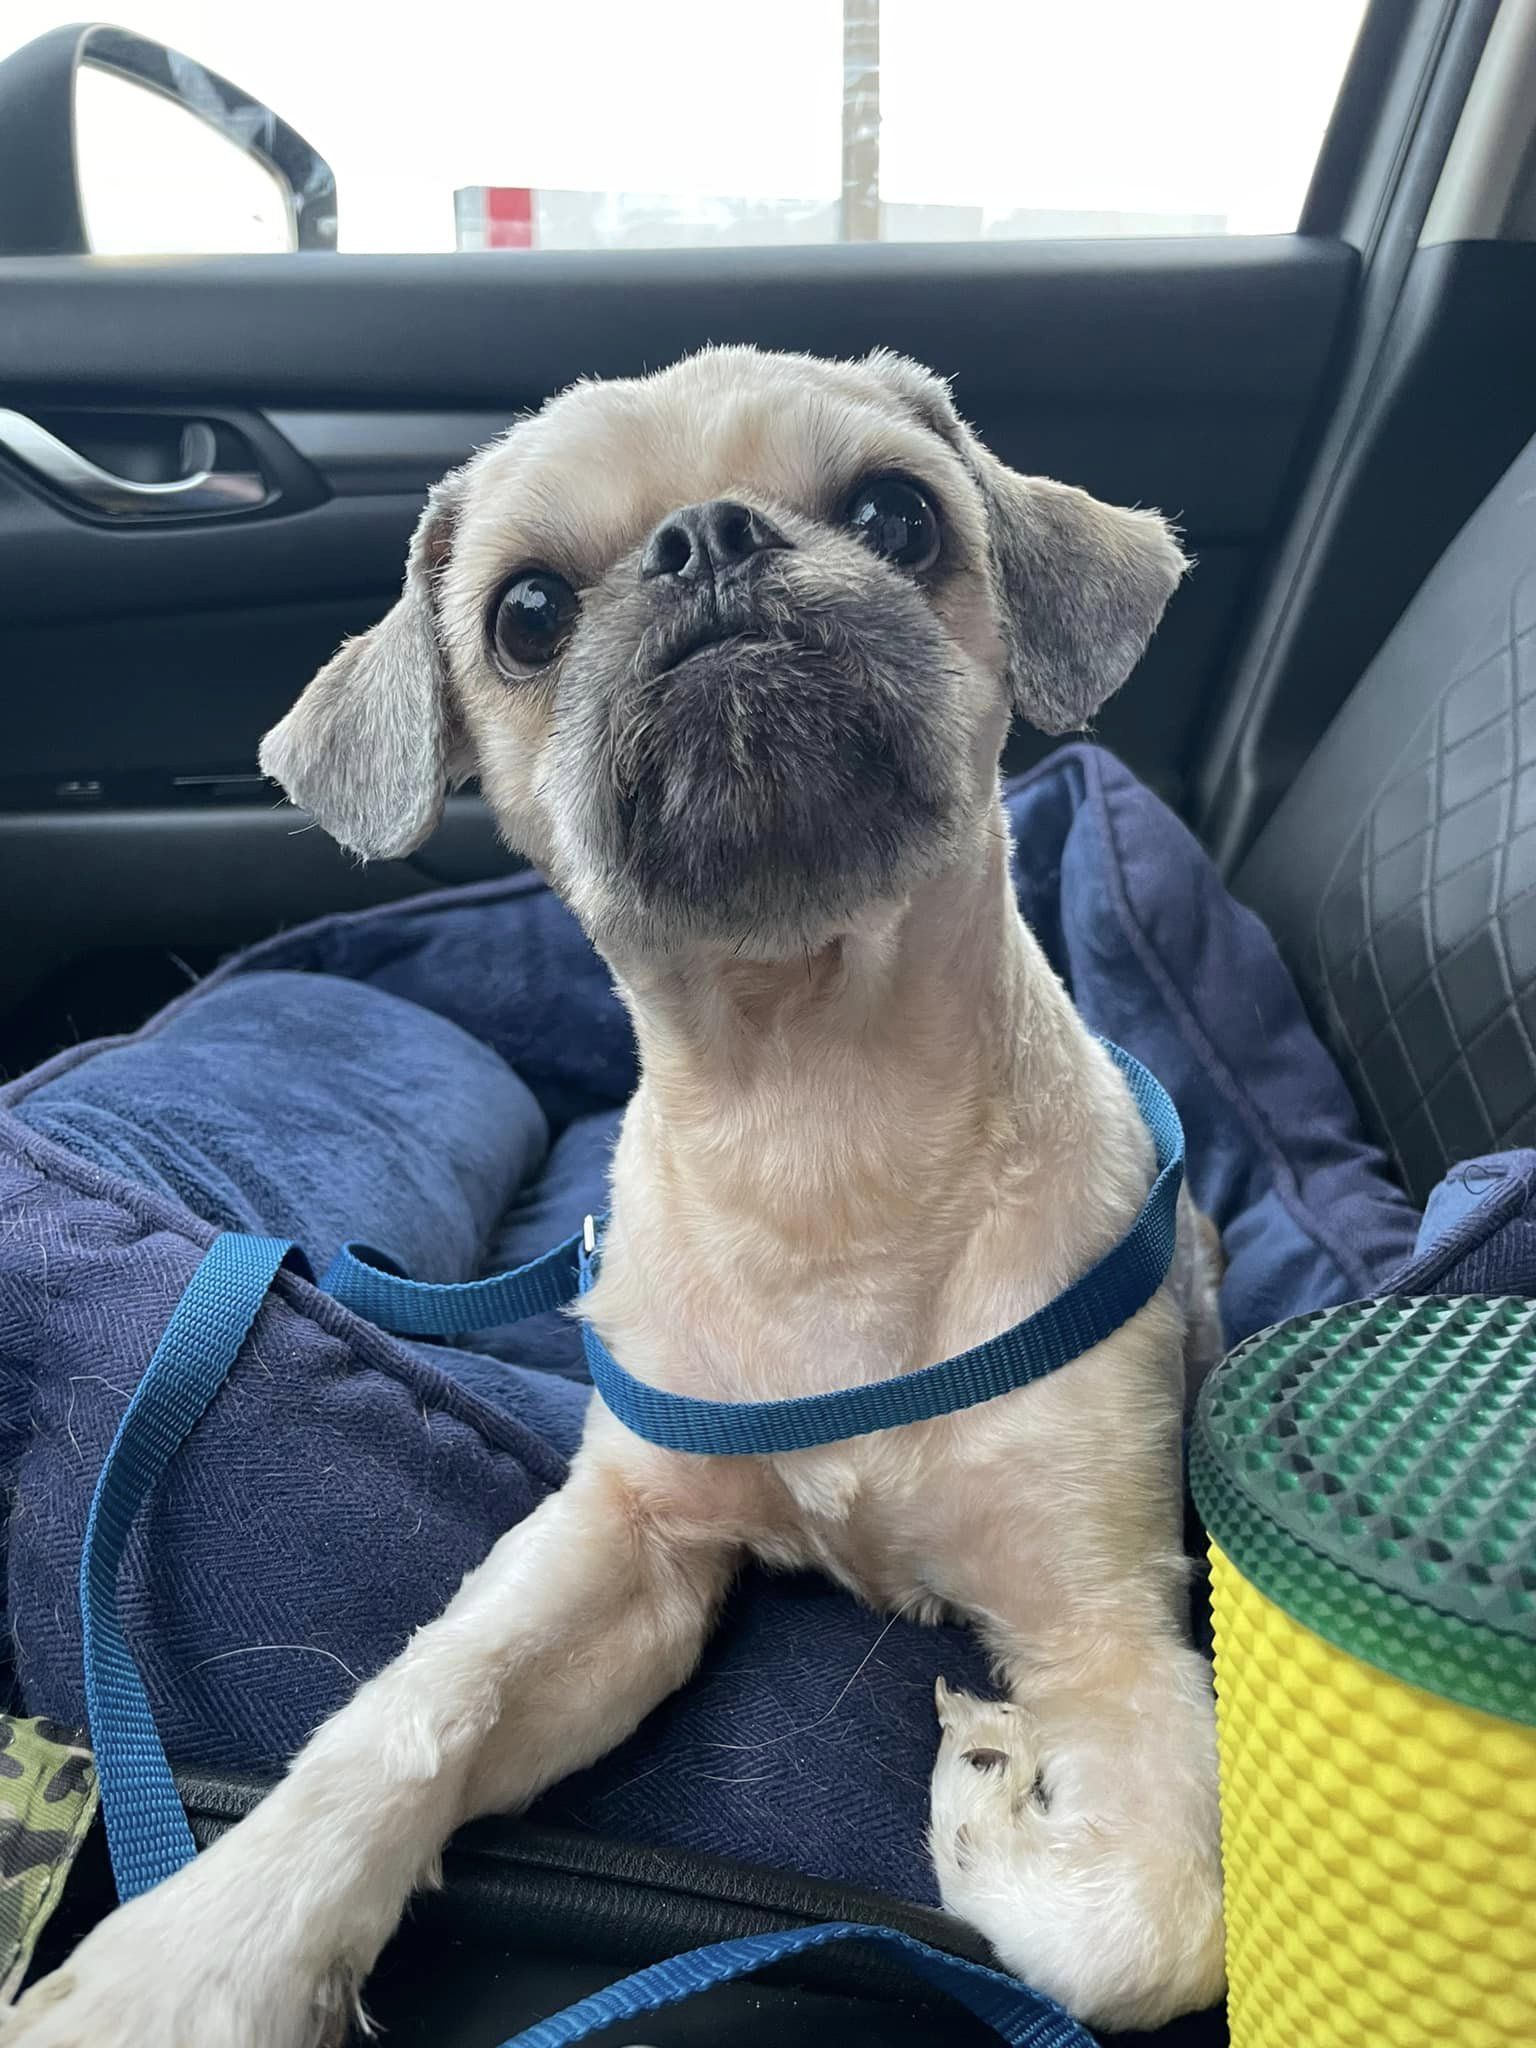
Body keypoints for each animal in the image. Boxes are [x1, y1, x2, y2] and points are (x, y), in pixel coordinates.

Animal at [3, 344, 1228, 2039]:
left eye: (897, 516)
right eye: (527, 613)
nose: (706, 541)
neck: (818, 1116)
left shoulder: (1107, 1627)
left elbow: (1154, 1927)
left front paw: (985, 1805)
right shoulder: (624, 1555)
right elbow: (412, 1714)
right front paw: (199, 1957)